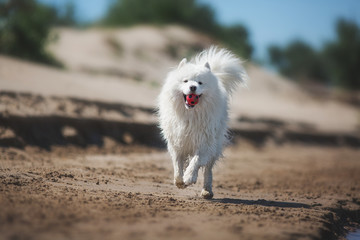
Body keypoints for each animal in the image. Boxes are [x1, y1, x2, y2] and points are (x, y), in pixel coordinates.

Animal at [158, 45, 248, 199]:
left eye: (200, 83)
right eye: (186, 81)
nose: (193, 87)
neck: (191, 115)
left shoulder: (204, 143)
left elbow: (195, 161)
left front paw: (189, 178)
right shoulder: (177, 142)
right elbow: (178, 165)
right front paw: (180, 181)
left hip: (215, 145)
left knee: (208, 170)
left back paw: (207, 191)